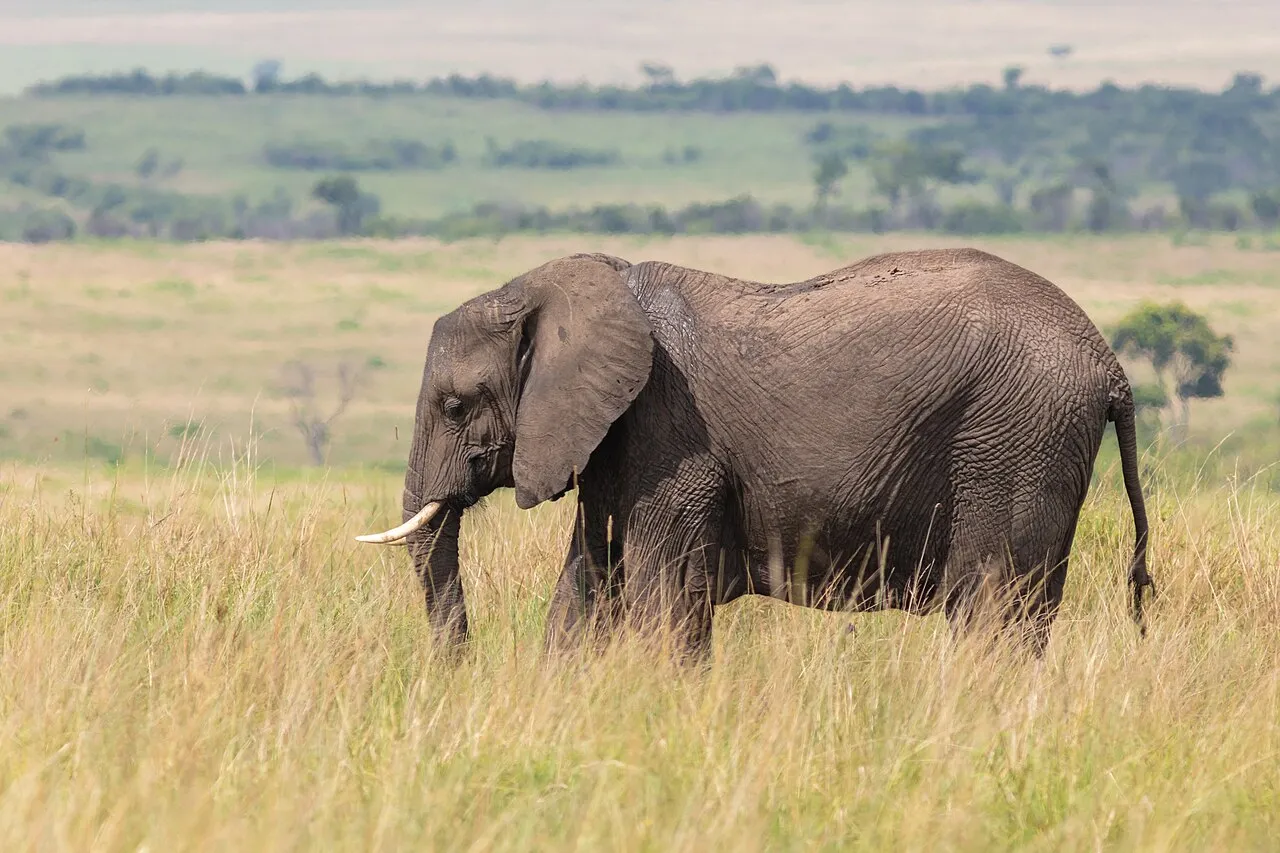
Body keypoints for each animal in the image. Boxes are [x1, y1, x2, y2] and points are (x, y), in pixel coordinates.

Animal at [356, 247, 1154, 660]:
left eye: (455, 407)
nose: (462, 669)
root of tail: (1110, 364)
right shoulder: (613, 439)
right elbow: (586, 588)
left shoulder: (671, 437)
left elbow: (662, 600)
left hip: (1015, 440)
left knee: (992, 610)